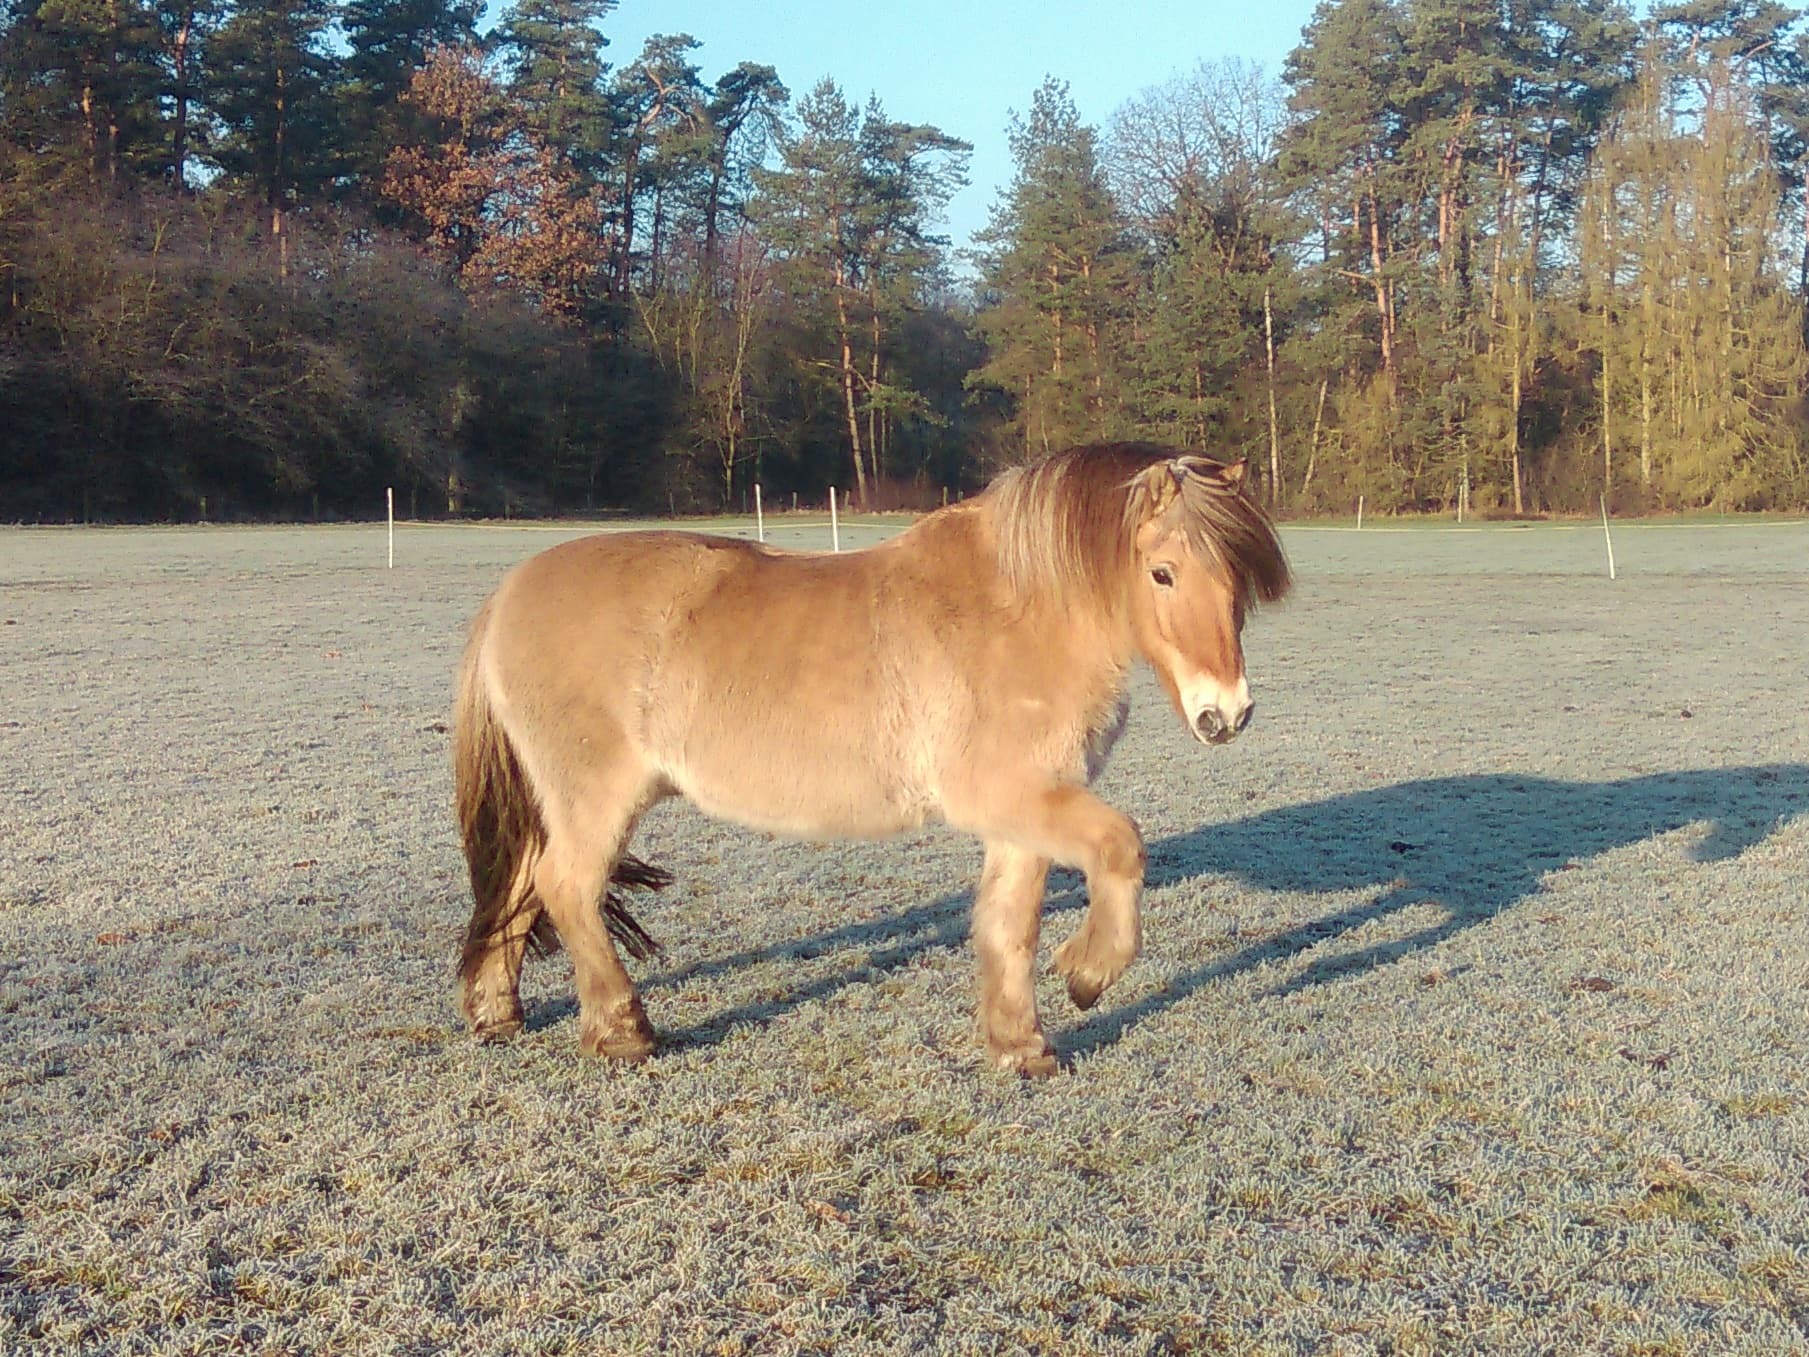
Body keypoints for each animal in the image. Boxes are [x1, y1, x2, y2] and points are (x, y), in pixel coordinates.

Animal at [459, 441, 1295, 1078]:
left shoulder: (1025, 810)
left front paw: (1019, 1044)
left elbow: (1009, 924)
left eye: (1237, 577)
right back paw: (622, 1028)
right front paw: (1087, 975)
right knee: (566, 886)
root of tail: (505, 595)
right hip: (598, 796)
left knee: (523, 886)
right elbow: (1121, 848)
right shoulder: (1011, 794)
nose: (1226, 713)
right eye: (1162, 572)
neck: (1017, 609)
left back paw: (497, 1012)